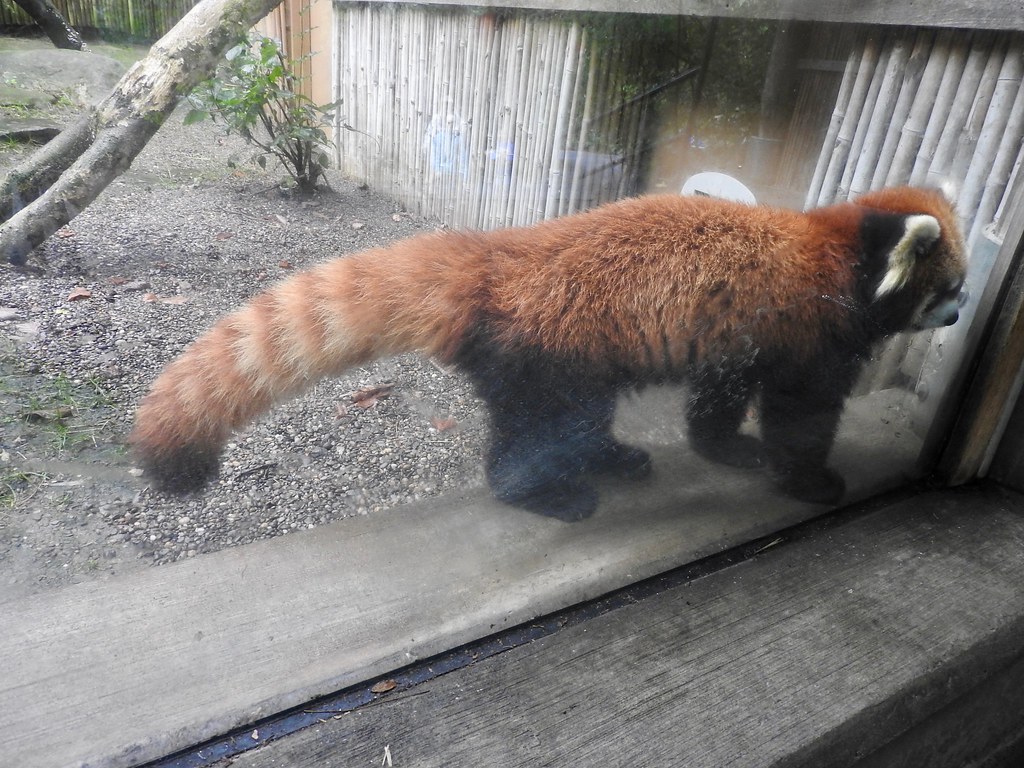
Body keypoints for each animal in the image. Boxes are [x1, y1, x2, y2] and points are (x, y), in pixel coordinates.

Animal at [130, 188, 966, 520]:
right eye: (952, 286)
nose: (961, 313)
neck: (834, 251)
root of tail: (499, 258)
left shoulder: (737, 340)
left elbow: (719, 404)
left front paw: (728, 449)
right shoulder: (811, 337)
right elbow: (802, 416)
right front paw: (813, 479)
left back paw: (613, 458)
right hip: (550, 351)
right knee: (538, 428)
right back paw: (545, 492)